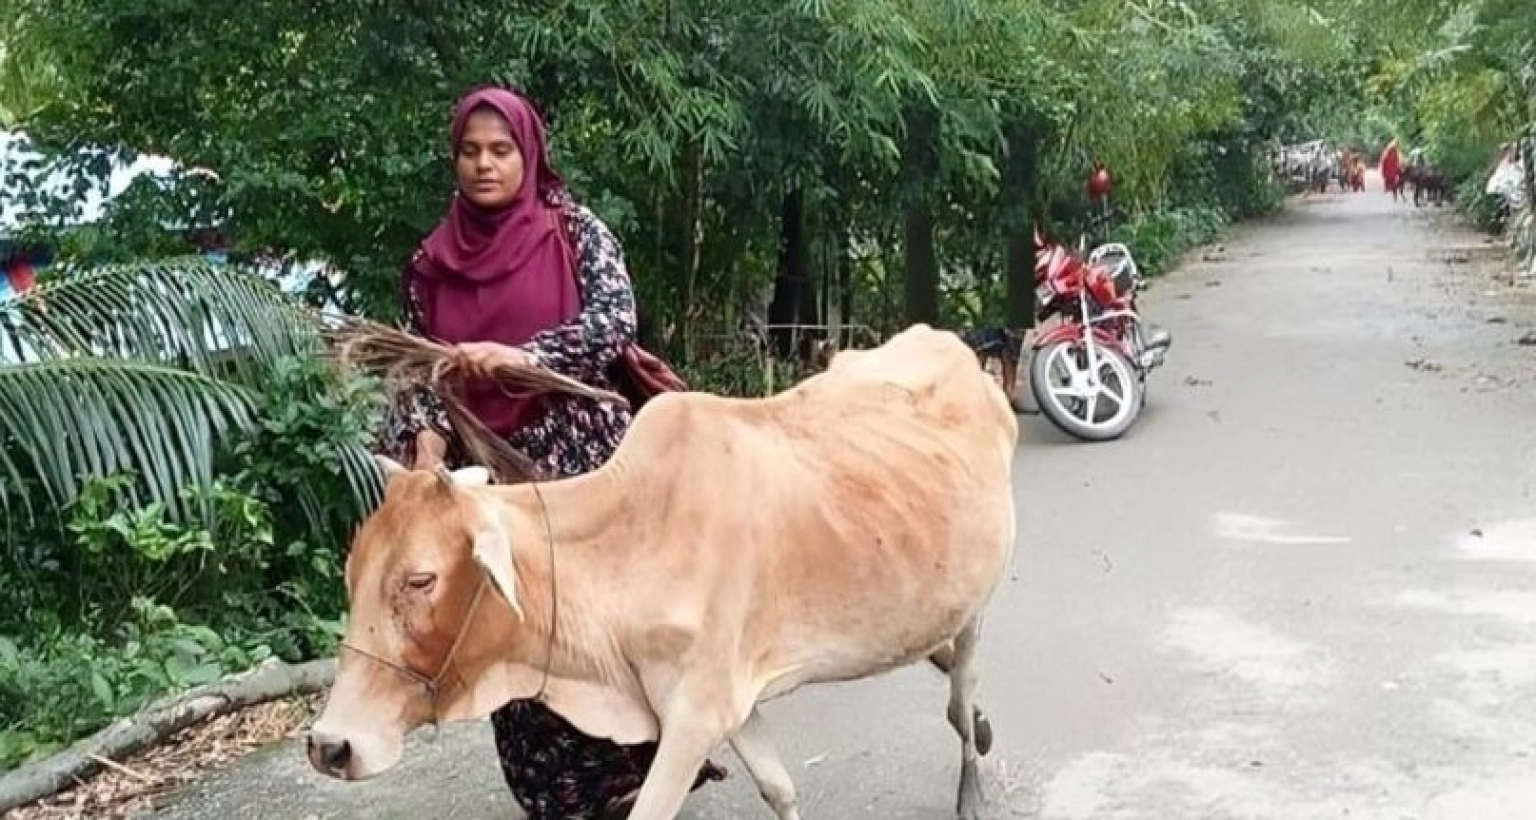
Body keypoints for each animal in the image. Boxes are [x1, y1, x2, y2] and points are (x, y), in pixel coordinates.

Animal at [302, 324, 1019, 816]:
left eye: (420, 580)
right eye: (352, 575)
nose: (329, 746)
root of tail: (948, 342)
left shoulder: (696, 714)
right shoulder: (728, 702)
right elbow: (778, 787)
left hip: (977, 601)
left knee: (962, 690)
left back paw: (972, 780)